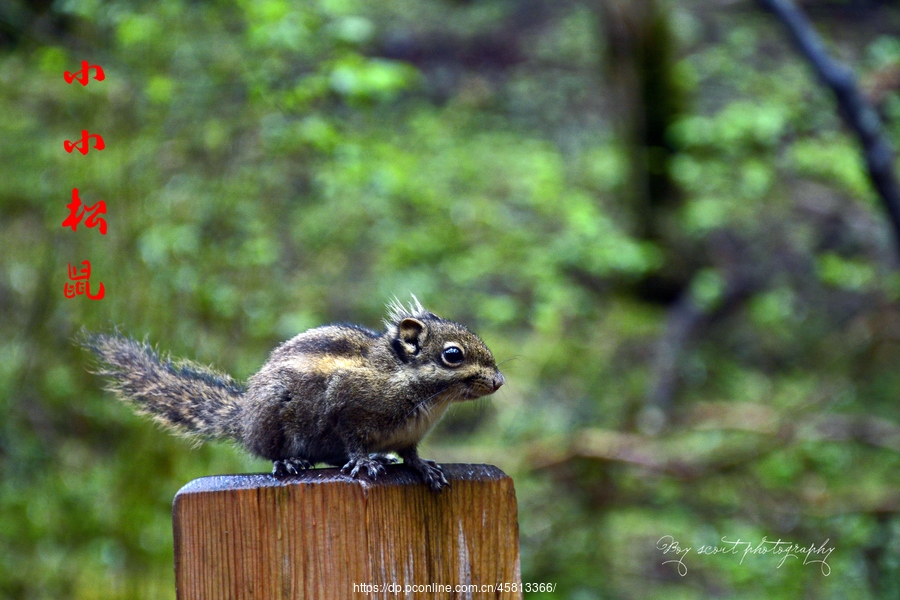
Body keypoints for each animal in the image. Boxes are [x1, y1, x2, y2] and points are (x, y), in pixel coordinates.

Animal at [76, 298, 502, 490]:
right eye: (452, 355)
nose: (498, 381)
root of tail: (244, 418)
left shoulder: (410, 433)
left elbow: (410, 453)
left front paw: (424, 467)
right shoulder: (346, 404)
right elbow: (353, 439)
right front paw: (364, 462)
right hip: (273, 421)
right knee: (272, 452)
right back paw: (290, 463)